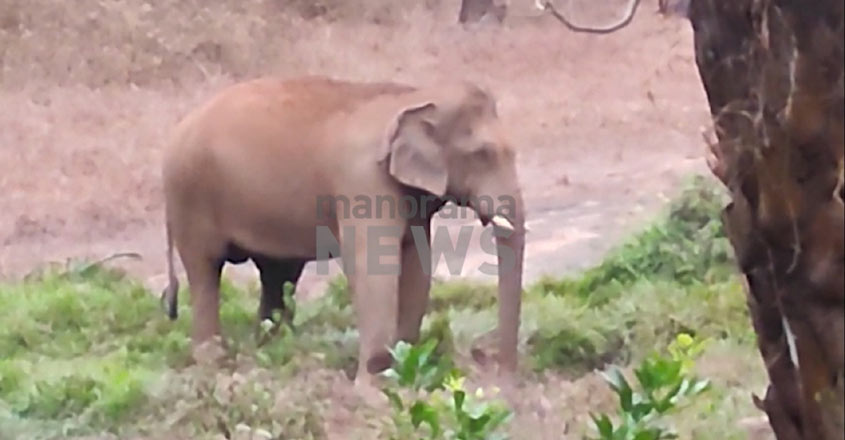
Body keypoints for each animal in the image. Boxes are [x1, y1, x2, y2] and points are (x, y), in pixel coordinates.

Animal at [159, 75, 526, 388]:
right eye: (483, 154)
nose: (501, 376)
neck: (413, 96)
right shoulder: (362, 183)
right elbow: (374, 266)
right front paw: (372, 388)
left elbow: (416, 264)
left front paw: (404, 370)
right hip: (189, 195)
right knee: (205, 270)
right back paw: (213, 364)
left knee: (277, 275)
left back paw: (272, 354)